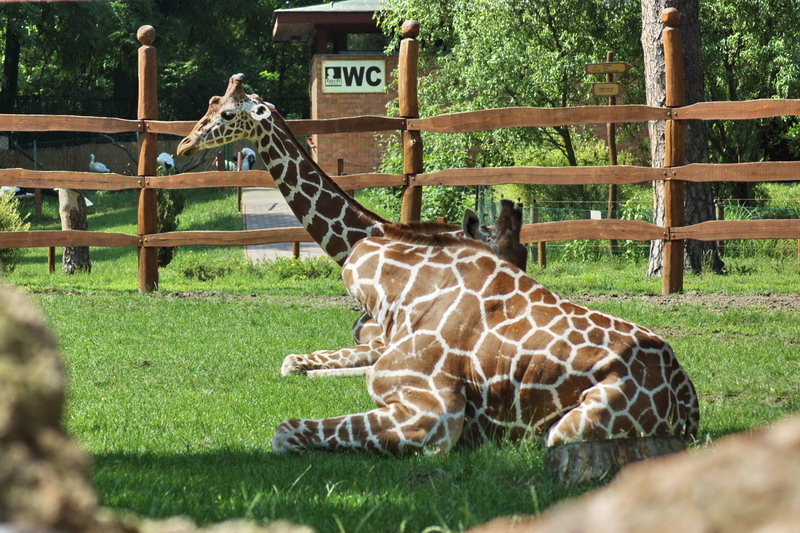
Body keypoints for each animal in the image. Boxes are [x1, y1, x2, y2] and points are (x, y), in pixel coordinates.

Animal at [176, 73, 526, 376]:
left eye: (228, 115)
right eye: (211, 104)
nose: (184, 145)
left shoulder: (394, 337)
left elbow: (294, 361)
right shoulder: (365, 331)